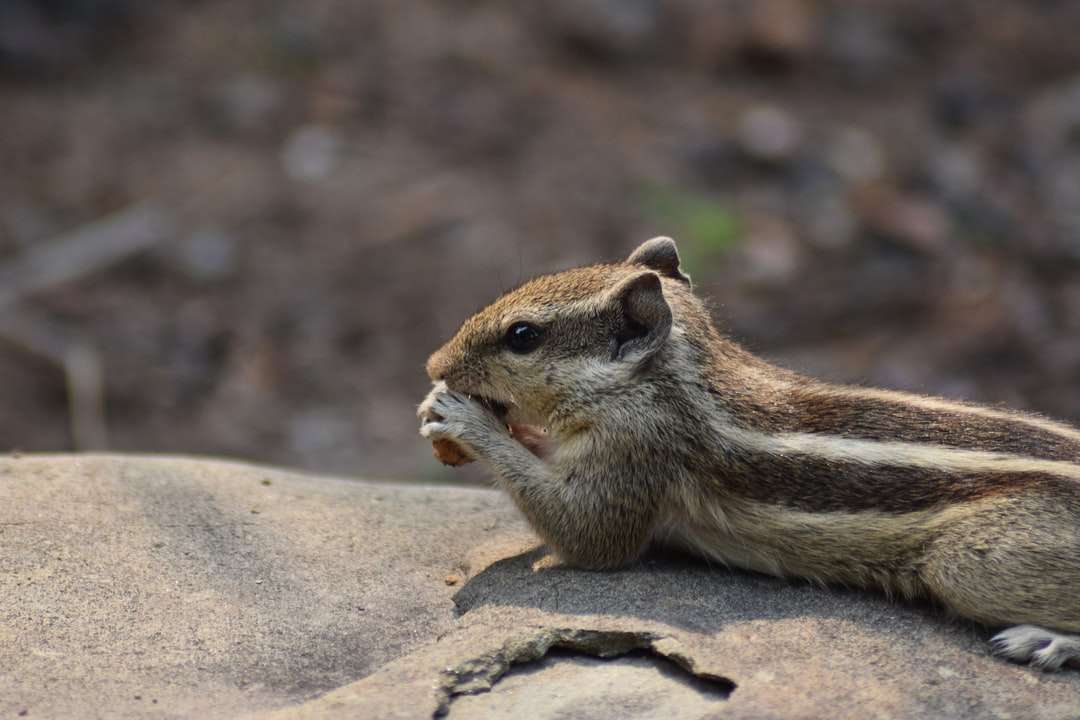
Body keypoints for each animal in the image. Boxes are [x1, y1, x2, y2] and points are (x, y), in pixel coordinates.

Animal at [416, 237, 1080, 669]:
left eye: (522, 336)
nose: (431, 364)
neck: (678, 374)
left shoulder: (635, 452)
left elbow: (588, 536)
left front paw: (466, 419)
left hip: (974, 563)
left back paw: (1045, 643)